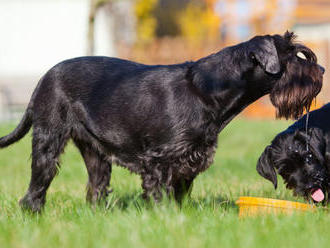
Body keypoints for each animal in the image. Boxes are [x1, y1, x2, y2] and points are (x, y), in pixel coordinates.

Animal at [0, 31, 324, 211]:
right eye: (293, 55)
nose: (320, 70)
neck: (208, 88)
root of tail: (44, 77)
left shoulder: (188, 162)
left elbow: (179, 195)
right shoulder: (160, 162)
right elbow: (160, 195)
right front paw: (164, 218)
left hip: (96, 155)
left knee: (96, 186)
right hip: (48, 140)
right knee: (39, 182)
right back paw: (32, 212)